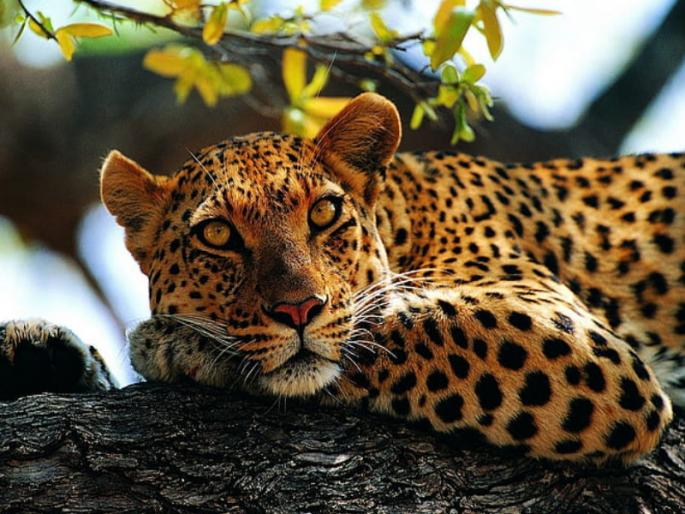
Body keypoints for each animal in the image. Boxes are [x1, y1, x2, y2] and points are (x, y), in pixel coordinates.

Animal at [2, 93, 683, 463]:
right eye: (218, 235)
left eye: (324, 213)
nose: (298, 310)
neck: (411, 214)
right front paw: (40, 353)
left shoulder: (568, 334)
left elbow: (392, 327)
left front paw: (175, 343)